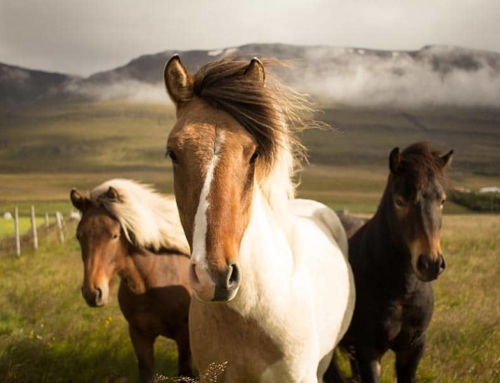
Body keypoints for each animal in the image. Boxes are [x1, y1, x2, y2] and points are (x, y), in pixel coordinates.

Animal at [70, 180, 193, 383]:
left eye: (114, 235)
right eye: (79, 236)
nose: (92, 293)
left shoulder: (184, 336)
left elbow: (186, 372)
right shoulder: (139, 335)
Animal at [336, 143, 454, 383]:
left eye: (442, 200)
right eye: (399, 201)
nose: (431, 263)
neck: (402, 291)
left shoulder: (413, 348)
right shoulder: (369, 350)